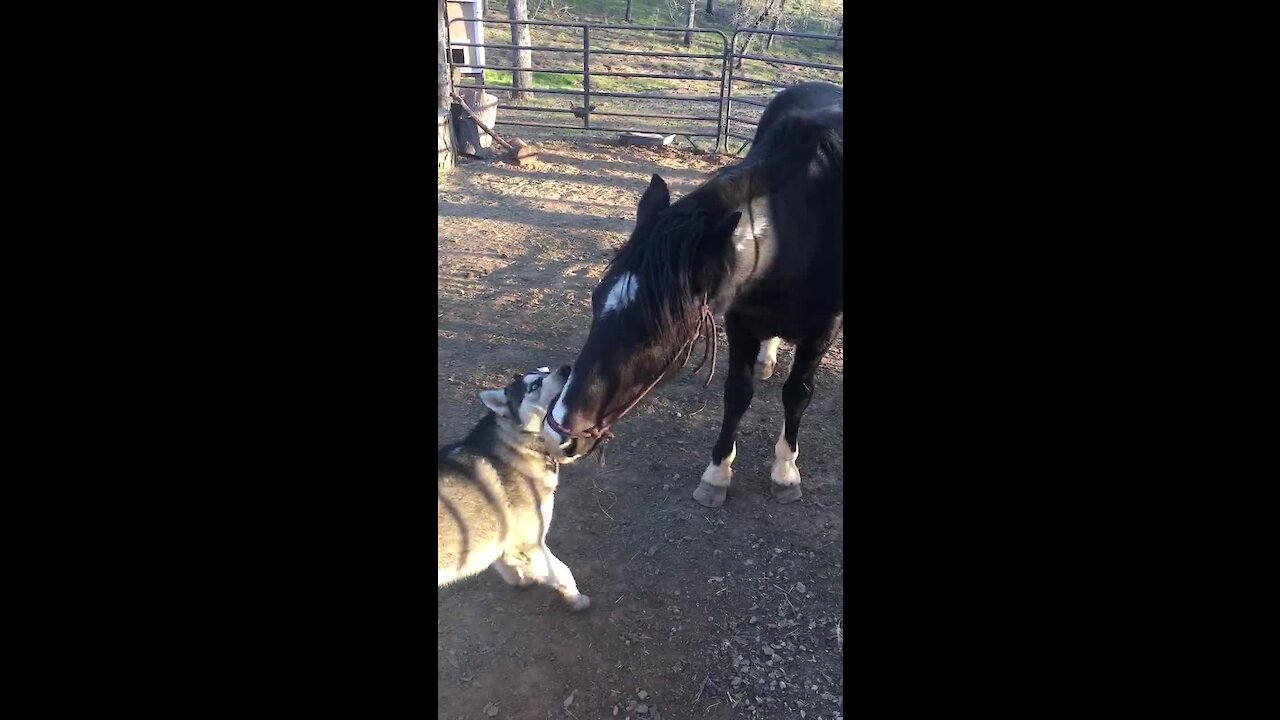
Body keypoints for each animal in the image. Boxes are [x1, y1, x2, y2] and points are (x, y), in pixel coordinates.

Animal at [435, 363, 586, 604]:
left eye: (546, 370)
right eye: (534, 385)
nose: (566, 368)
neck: (513, 444)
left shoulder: (501, 544)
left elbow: (507, 567)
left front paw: (522, 581)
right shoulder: (531, 546)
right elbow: (562, 572)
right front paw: (577, 599)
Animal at [545, 81, 844, 504]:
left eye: (653, 330)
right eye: (596, 300)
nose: (559, 432)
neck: (800, 225)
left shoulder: (822, 332)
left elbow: (797, 395)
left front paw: (785, 472)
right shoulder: (740, 319)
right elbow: (738, 393)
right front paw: (717, 474)